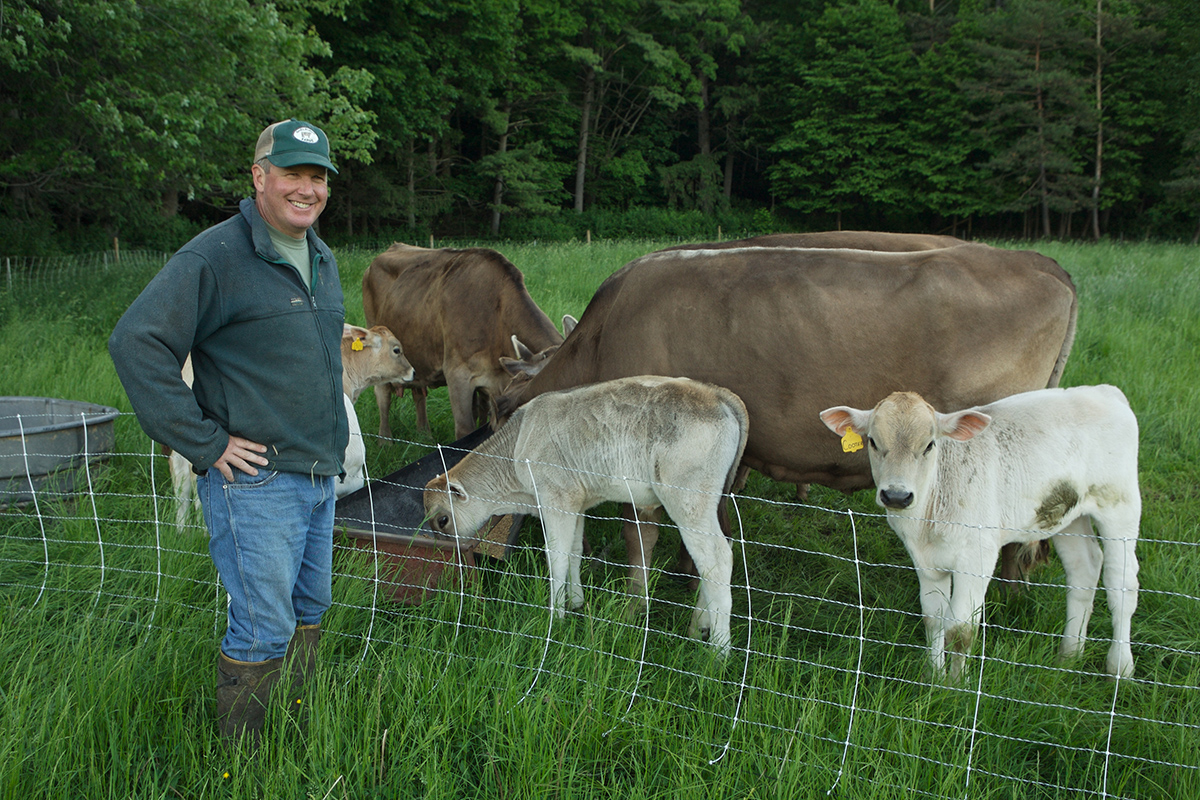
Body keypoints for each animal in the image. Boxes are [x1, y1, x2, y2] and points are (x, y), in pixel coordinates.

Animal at [422, 376, 739, 652]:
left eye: (442, 519)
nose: (446, 555)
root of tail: (715, 392)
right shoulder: (576, 504)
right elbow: (574, 550)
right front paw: (575, 602)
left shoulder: (556, 501)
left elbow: (557, 558)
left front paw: (556, 617)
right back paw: (700, 626)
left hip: (689, 503)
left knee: (716, 561)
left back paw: (718, 650)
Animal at [492, 235, 1075, 609]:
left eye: (498, 411)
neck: (601, 338)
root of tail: (1043, 262)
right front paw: (689, 579)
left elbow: (641, 531)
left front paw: (637, 601)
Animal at [820, 383, 1137, 681]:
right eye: (873, 442)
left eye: (929, 445)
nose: (897, 496)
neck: (928, 518)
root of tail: (1104, 391)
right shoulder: (925, 562)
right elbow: (933, 618)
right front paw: (934, 676)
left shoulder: (977, 558)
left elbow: (960, 629)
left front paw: (956, 685)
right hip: (1067, 516)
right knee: (1084, 568)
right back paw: (1069, 655)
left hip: (1120, 507)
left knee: (1121, 583)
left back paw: (1120, 667)